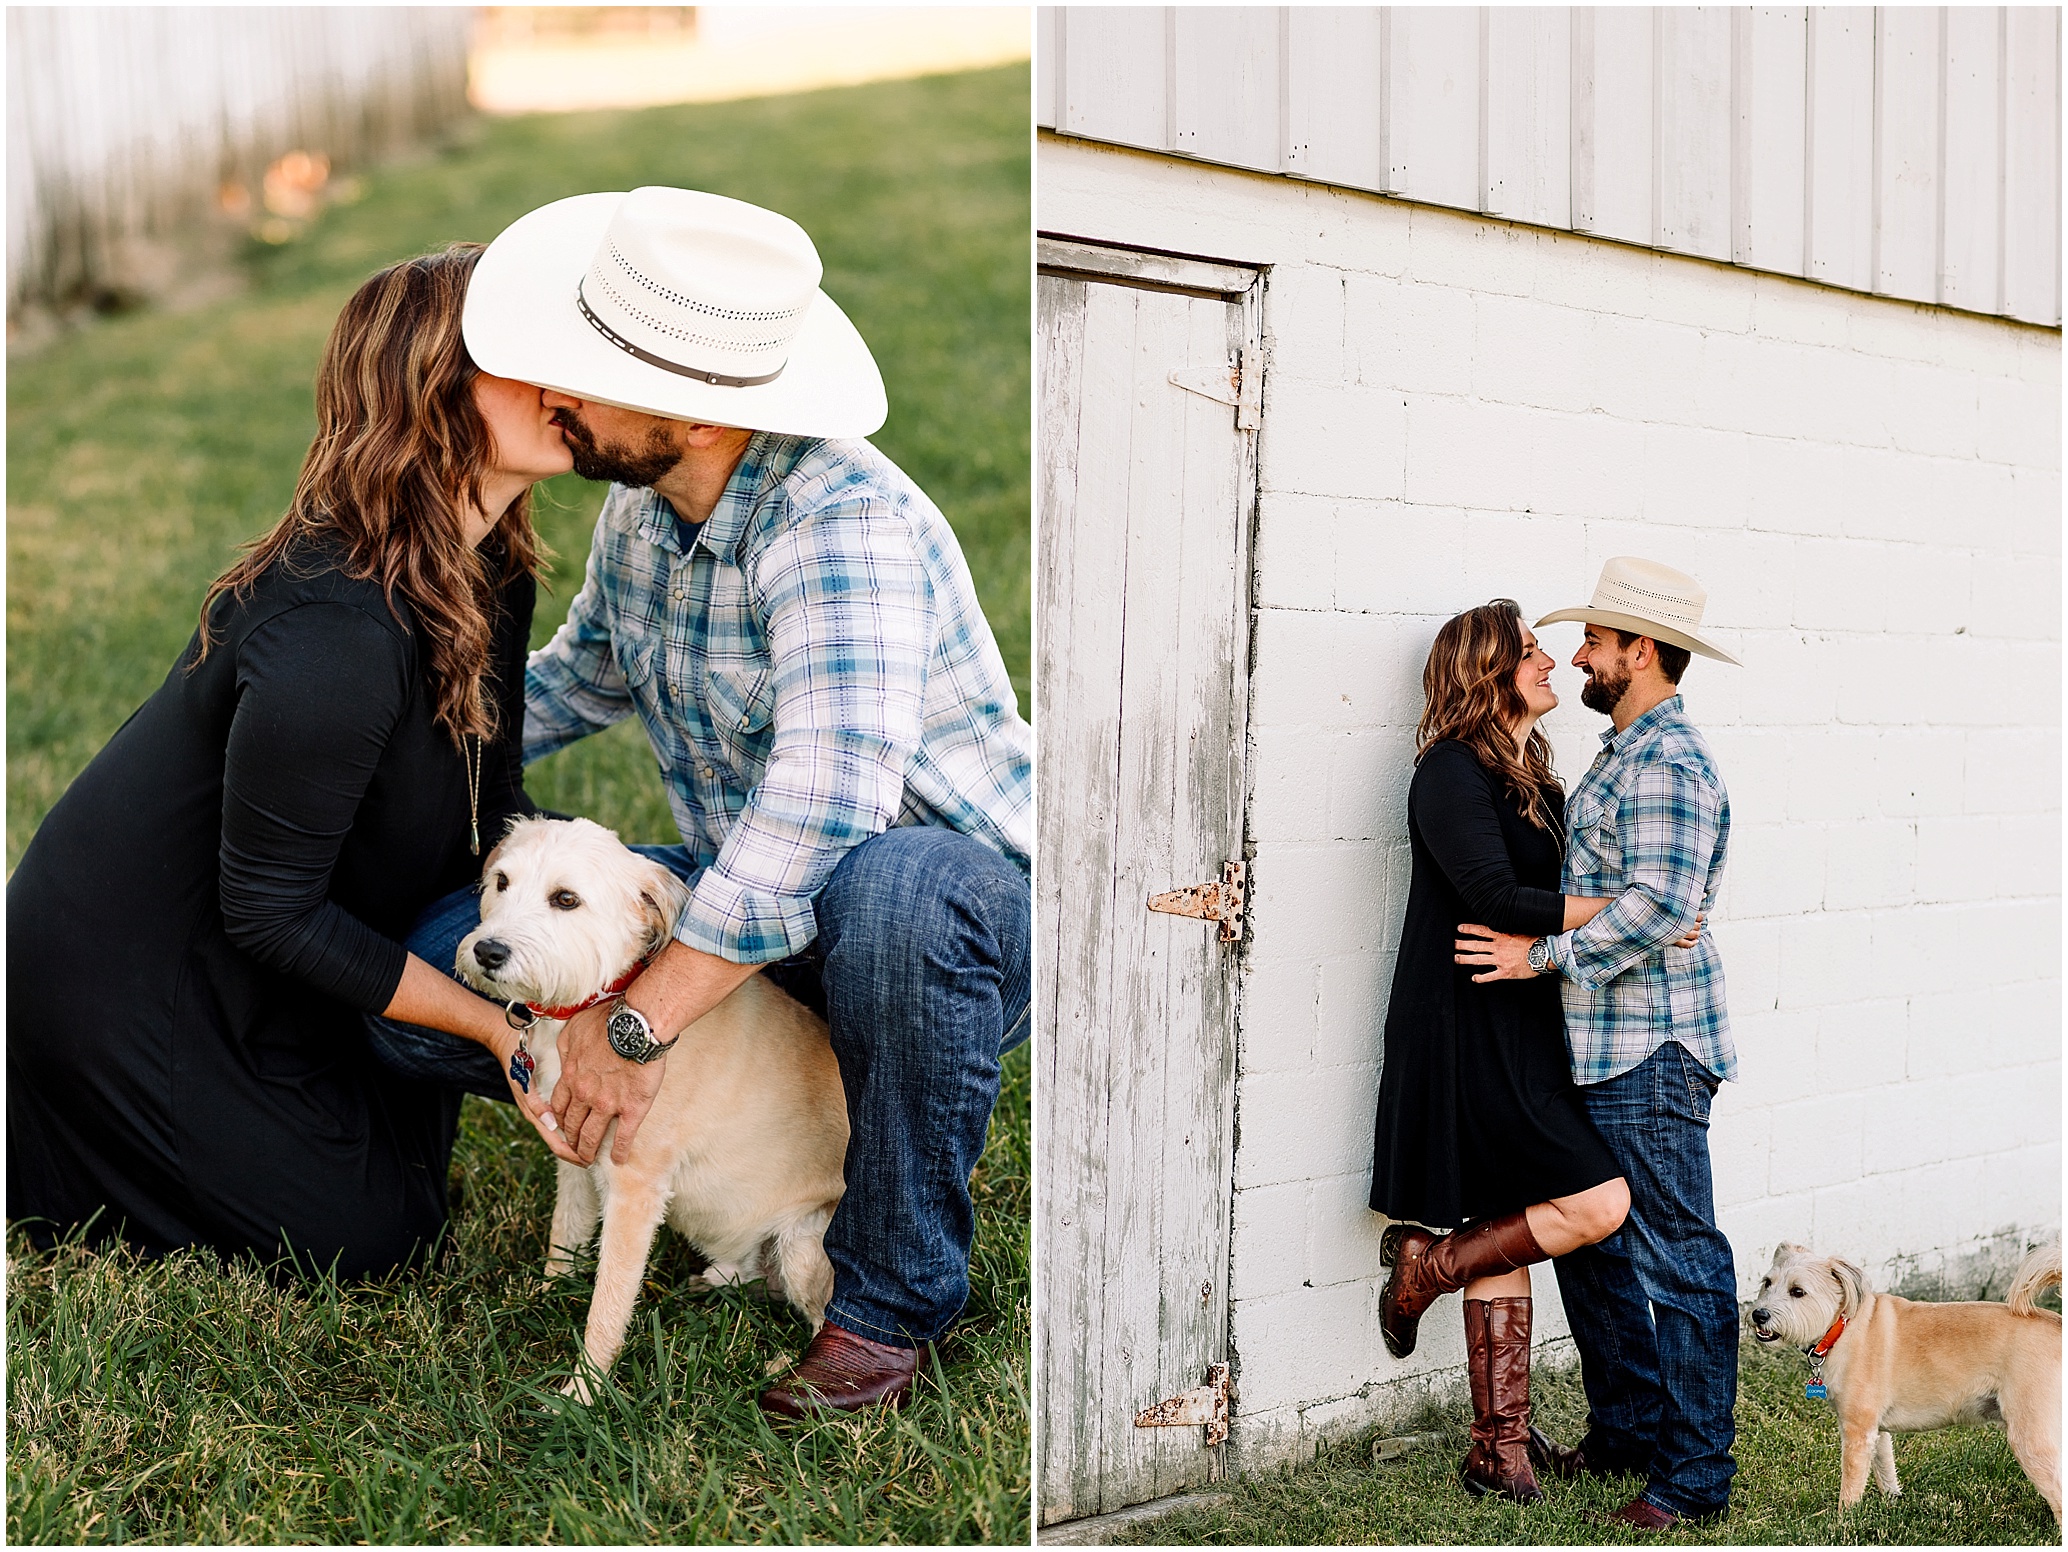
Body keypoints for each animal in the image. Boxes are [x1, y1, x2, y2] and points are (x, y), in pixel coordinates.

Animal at [459, 819, 847, 1407]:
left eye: (566, 899)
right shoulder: (572, 1152)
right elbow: (564, 1234)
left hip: (804, 1242)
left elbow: (609, 1300)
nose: (487, 951)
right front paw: (545, 1294)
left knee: (824, 1316)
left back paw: (791, 1372)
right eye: (501, 881)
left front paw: (582, 1393)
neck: (596, 1003)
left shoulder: (634, 1187)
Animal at [1753, 1249, 2059, 1523]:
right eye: (1767, 1282)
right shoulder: (1877, 1431)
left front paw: (1843, 1522)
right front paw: (1892, 1502)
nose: (1758, 1315)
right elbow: (1885, 1469)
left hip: (2030, 1438)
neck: (1844, 1327)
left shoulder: (1857, 1431)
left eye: (1798, 1291)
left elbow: (1851, 1483)